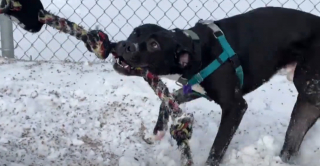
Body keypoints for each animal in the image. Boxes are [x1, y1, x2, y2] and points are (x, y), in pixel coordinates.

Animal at [114, 5, 320, 165]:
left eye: (154, 45)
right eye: (134, 32)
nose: (126, 45)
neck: (197, 50)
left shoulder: (235, 106)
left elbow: (217, 148)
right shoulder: (194, 89)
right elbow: (167, 101)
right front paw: (155, 135)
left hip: (308, 88)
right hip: (308, 101)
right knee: (292, 143)